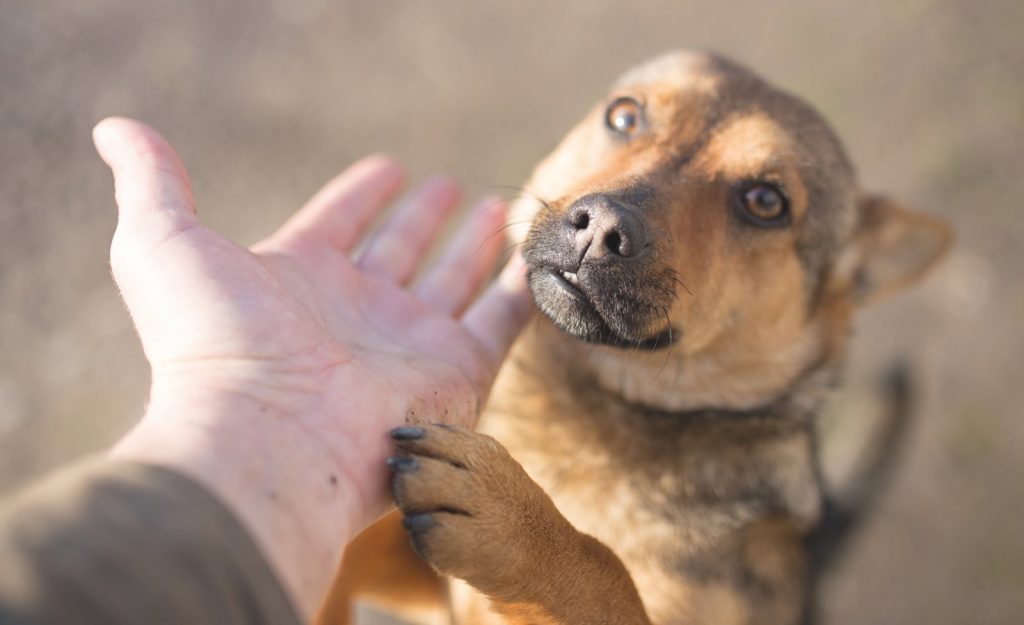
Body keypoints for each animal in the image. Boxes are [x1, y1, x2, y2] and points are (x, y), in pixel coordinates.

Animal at [317, 51, 950, 622]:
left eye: (766, 202)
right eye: (624, 117)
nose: (602, 227)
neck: (584, 412)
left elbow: (606, 575)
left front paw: (516, 522)